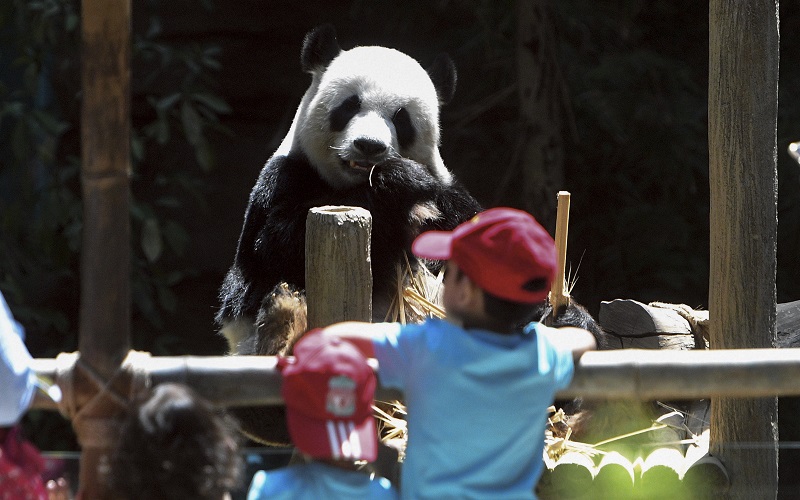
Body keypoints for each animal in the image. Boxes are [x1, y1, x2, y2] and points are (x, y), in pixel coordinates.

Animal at [216, 25, 481, 444]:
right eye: (349, 106)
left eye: (402, 118)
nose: (369, 146)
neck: (351, 184)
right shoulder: (281, 180)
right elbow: (267, 254)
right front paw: (397, 183)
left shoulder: (451, 201)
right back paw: (284, 329)